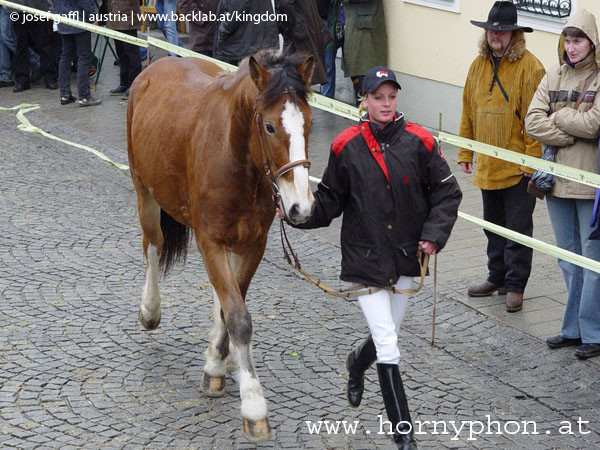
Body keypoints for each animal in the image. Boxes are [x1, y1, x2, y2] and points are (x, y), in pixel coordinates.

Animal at [125, 51, 314, 442]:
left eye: (310, 123)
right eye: (270, 127)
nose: (300, 208)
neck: (236, 161)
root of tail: (157, 63)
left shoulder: (253, 244)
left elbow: (231, 306)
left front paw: (216, 362)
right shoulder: (209, 240)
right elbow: (238, 316)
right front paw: (254, 405)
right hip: (144, 192)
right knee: (152, 245)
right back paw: (150, 310)